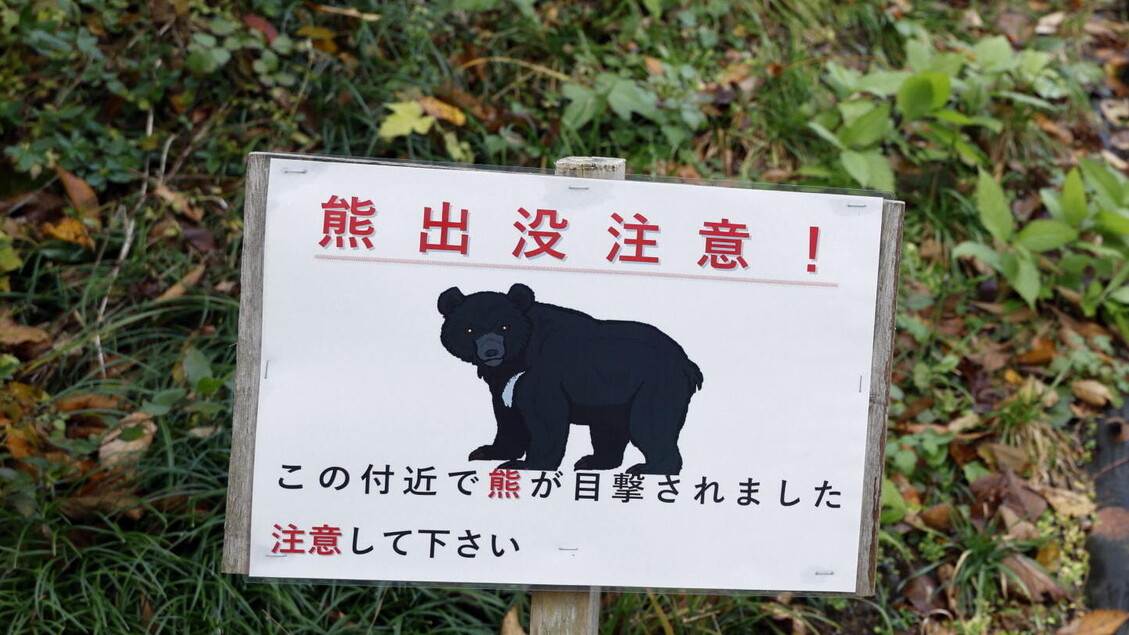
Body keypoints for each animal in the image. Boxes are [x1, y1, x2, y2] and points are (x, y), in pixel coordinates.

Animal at [437, 282, 703, 474]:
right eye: (469, 329)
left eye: (505, 327)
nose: (491, 351)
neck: (519, 358)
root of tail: (687, 363)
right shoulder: (505, 381)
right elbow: (509, 416)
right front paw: (486, 451)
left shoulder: (542, 372)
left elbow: (545, 417)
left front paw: (526, 464)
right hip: (614, 397)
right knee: (610, 429)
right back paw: (592, 461)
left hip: (655, 385)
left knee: (650, 423)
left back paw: (650, 468)